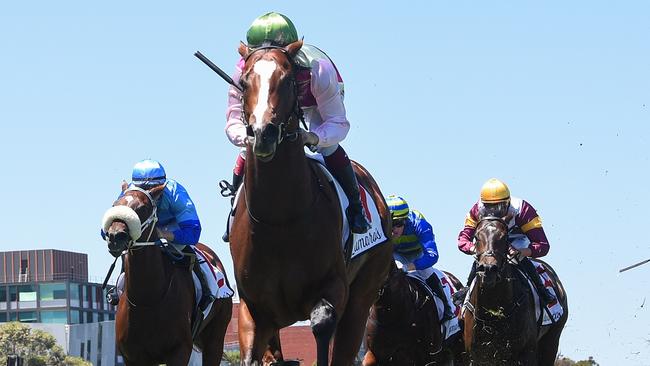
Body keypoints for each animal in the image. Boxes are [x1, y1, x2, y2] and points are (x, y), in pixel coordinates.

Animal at [101, 182, 233, 364]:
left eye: (142, 207)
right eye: (115, 205)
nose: (115, 236)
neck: (147, 299)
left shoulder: (179, 351)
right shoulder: (132, 356)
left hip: (215, 338)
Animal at [228, 38, 390, 364]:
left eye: (288, 80)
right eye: (244, 82)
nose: (263, 134)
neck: (279, 220)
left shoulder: (334, 289)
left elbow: (322, 325)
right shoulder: (254, 309)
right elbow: (252, 353)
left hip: (363, 294)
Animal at [464, 217, 564, 366]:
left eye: (505, 237)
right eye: (476, 237)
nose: (488, 269)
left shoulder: (526, 353)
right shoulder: (477, 355)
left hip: (551, 342)